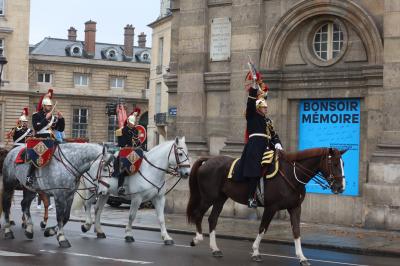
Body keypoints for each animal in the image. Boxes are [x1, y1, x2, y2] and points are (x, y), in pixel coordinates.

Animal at [186, 147, 346, 264]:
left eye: (343, 164)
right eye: (335, 164)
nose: (340, 187)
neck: (291, 175)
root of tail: (209, 159)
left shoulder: (295, 208)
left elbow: (296, 231)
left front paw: (302, 257)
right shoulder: (271, 208)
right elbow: (263, 228)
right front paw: (256, 252)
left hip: (220, 198)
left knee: (212, 219)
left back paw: (215, 249)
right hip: (208, 198)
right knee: (198, 214)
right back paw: (197, 239)